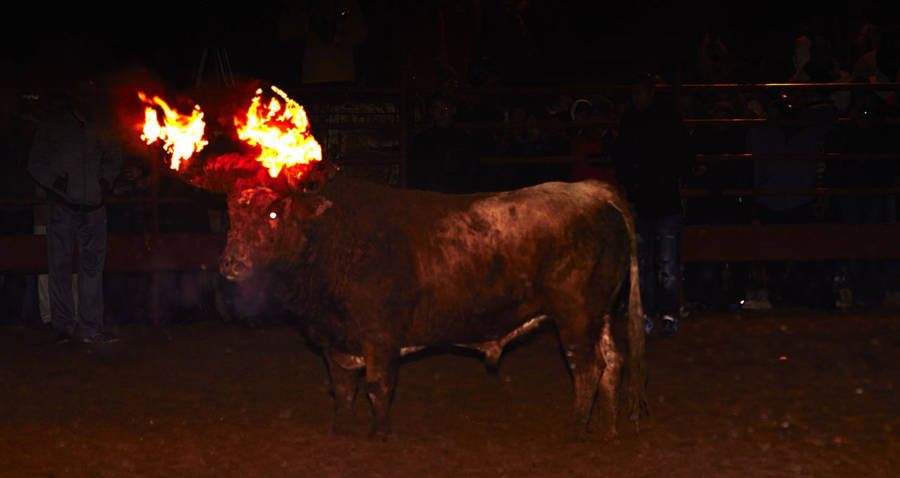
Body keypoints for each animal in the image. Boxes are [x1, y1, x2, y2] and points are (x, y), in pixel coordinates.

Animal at [188, 159, 648, 438]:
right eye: (232, 215)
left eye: (272, 214)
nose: (231, 264)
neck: (334, 238)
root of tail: (591, 192)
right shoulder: (337, 341)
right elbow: (343, 388)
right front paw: (342, 431)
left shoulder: (379, 337)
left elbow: (377, 386)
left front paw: (377, 435)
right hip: (600, 314)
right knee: (613, 363)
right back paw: (608, 429)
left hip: (576, 315)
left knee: (588, 368)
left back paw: (577, 427)